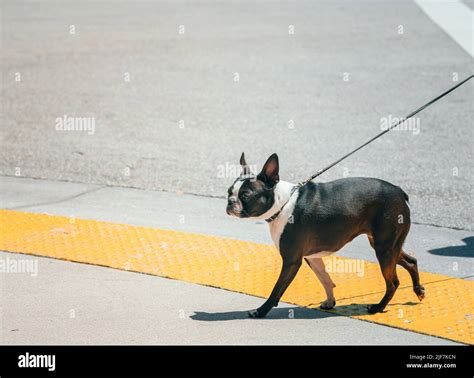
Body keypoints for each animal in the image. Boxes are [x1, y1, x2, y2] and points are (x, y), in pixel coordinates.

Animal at [226, 152, 426, 318]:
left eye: (245, 195)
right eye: (229, 191)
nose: (230, 201)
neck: (283, 203)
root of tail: (399, 191)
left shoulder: (292, 260)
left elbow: (277, 288)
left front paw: (261, 311)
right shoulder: (312, 257)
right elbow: (325, 279)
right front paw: (330, 302)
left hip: (384, 249)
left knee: (393, 282)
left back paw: (378, 307)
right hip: (386, 245)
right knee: (411, 261)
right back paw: (418, 290)